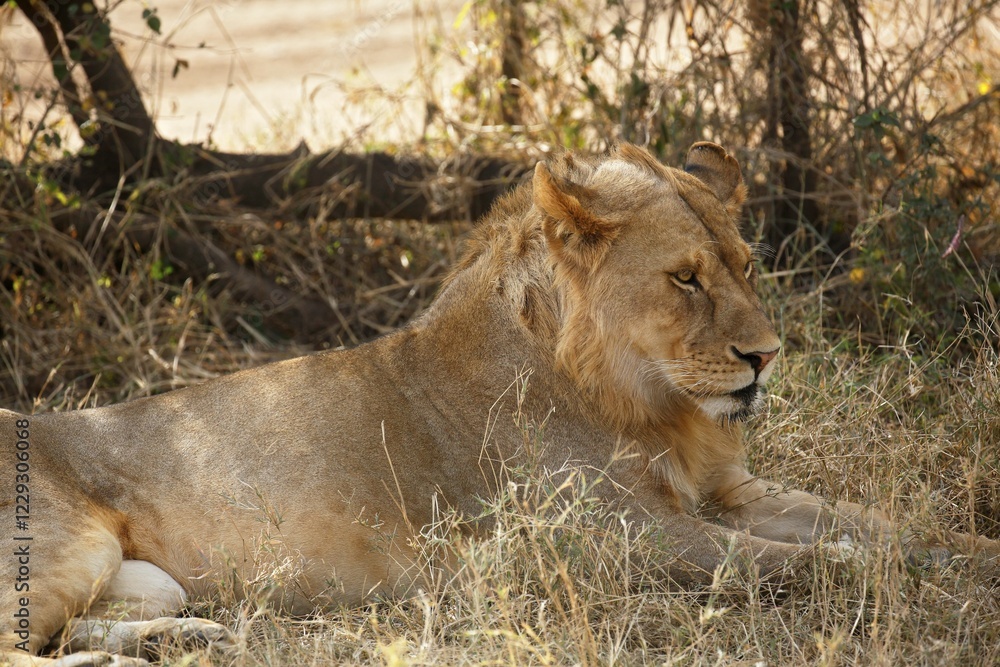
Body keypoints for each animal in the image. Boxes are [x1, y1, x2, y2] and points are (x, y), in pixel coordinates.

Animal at [2, 142, 997, 666]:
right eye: (685, 277)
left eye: (748, 266)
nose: (766, 356)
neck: (647, 404)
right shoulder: (612, 538)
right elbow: (804, 562)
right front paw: (895, 581)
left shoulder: (729, 494)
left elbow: (890, 526)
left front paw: (969, 557)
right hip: (68, 542)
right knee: (26, 649)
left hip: (144, 576)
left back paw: (186, 635)